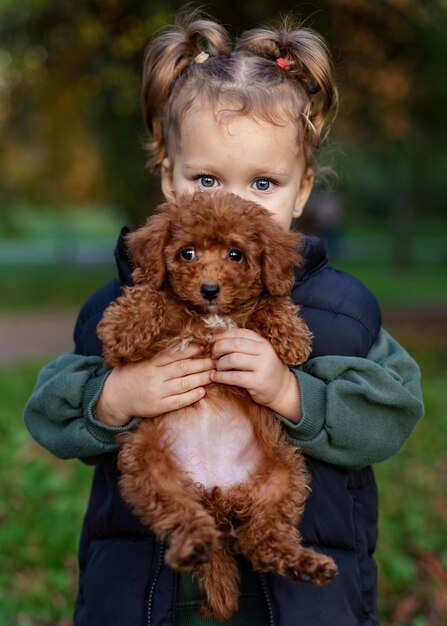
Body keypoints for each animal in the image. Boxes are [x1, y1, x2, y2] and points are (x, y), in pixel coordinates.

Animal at [97, 191, 336, 620]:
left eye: (235, 254)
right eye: (187, 253)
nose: (209, 289)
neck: (210, 318)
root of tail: (217, 495)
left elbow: (270, 298)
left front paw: (291, 336)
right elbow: (153, 294)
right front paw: (129, 325)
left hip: (283, 478)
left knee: (263, 539)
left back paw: (305, 564)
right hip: (151, 468)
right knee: (186, 519)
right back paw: (194, 546)